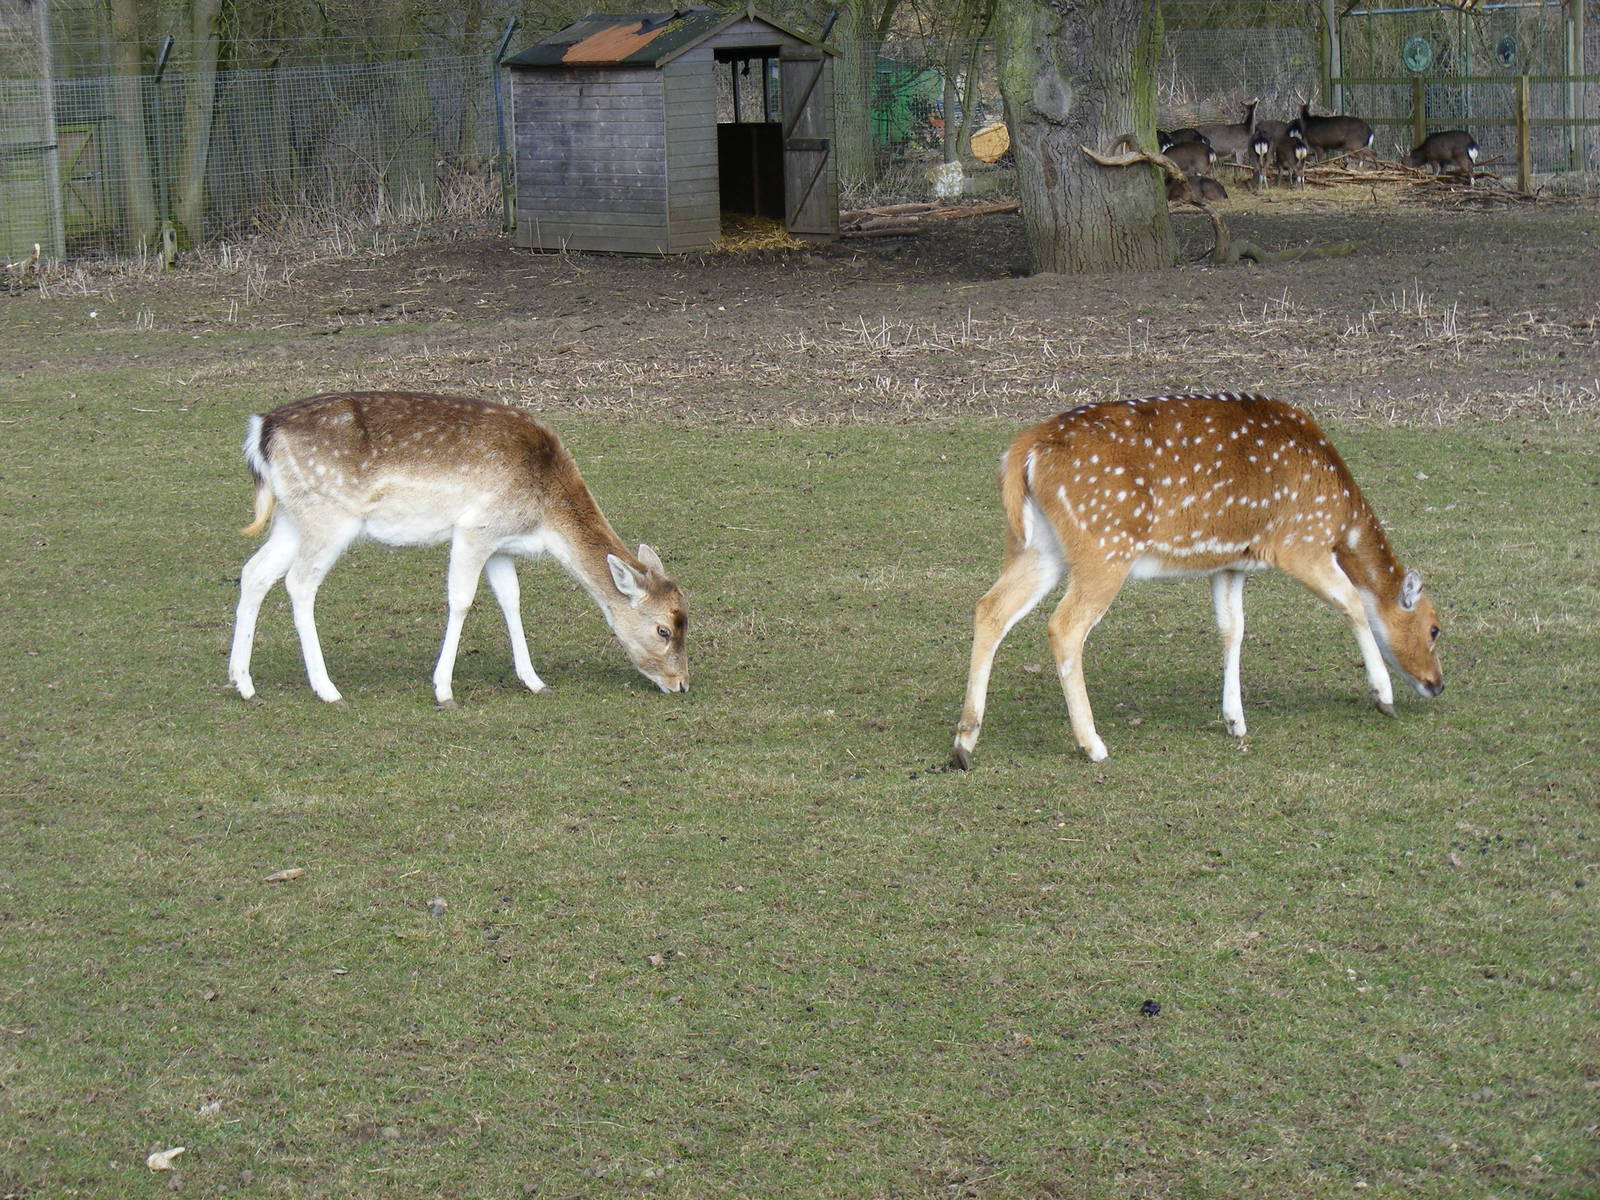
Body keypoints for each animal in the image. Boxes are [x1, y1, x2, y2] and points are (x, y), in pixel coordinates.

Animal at [228, 391, 688, 705]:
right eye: (664, 630)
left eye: (688, 621)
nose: (682, 683)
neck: (544, 516)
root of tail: (262, 430)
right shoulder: (475, 528)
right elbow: (462, 600)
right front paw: (443, 688)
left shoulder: (502, 544)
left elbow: (512, 600)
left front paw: (535, 681)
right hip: (329, 517)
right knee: (299, 583)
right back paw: (327, 688)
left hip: (291, 518)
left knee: (254, 572)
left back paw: (242, 681)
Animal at [950, 393, 1443, 769]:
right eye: (1435, 628)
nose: (1437, 684)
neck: (1342, 515)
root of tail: (1023, 451)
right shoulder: (1300, 542)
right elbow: (1353, 602)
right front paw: (1383, 695)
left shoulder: (1230, 563)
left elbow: (1232, 630)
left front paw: (1235, 721)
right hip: (1105, 546)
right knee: (1064, 625)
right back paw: (1093, 745)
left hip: (1038, 546)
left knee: (990, 607)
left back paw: (963, 744)